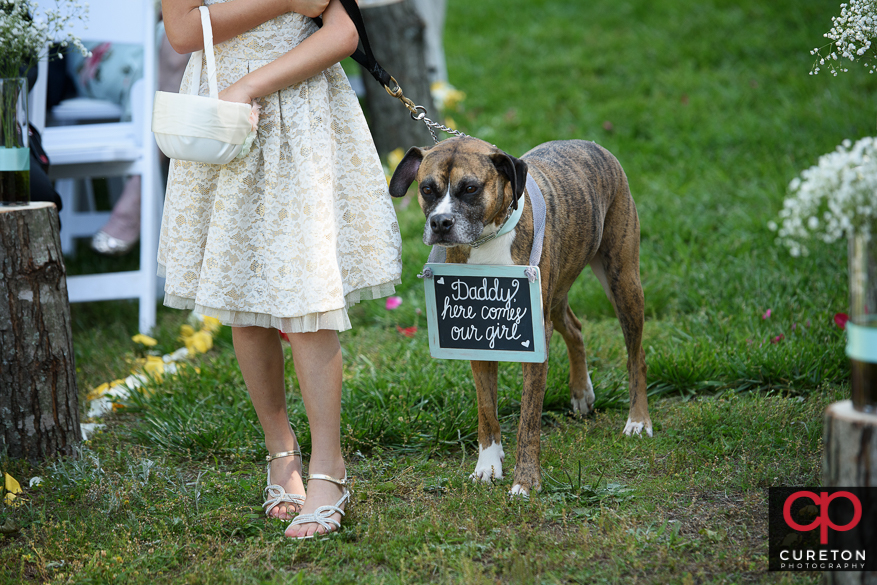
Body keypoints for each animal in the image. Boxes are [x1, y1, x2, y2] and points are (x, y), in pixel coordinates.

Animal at [388, 136, 652, 492]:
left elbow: (529, 417)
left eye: (470, 188)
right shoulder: (478, 334)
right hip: (556, 294)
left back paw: (638, 420)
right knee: (575, 327)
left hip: (622, 281)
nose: (440, 223)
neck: (488, 240)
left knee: (636, 355)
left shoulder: (535, 340)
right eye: (427, 189)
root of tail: (589, 143)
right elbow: (487, 409)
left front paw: (525, 482)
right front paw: (488, 465)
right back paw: (582, 392)